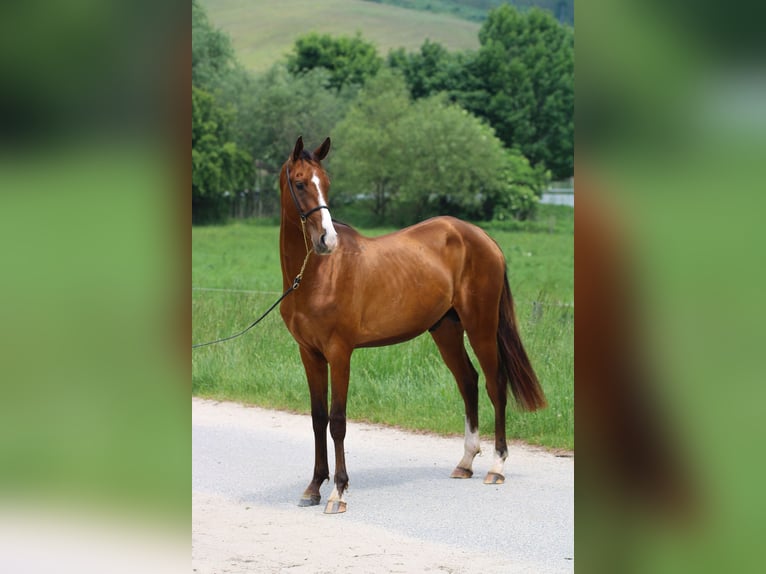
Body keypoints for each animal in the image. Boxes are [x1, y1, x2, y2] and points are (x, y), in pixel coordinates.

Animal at [276, 137, 544, 516]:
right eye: (300, 183)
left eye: (326, 183)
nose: (327, 240)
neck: (316, 276)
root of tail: (482, 237)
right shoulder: (309, 354)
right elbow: (317, 419)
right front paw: (314, 487)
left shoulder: (340, 353)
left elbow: (338, 420)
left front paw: (338, 492)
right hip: (446, 329)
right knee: (468, 382)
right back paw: (465, 463)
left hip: (481, 326)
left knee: (495, 384)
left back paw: (496, 466)